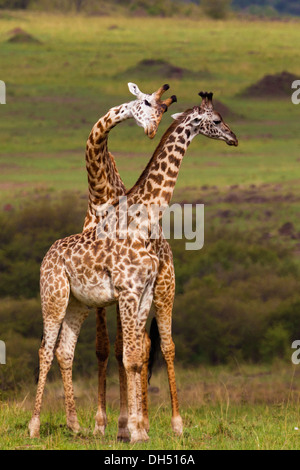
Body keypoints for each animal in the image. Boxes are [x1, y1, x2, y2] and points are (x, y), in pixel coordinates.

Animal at [29, 90, 238, 442]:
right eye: (218, 119)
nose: (234, 138)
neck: (144, 217)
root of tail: (47, 255)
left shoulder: (143, 292)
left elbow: (137, 356)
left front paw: (138, 429)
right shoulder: (127, 291)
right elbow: (126, 355)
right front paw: (133, 430)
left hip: (79, 303)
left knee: (66, 350)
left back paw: (75, 424)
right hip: (54, 297)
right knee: (46, 349)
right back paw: (34, 426)